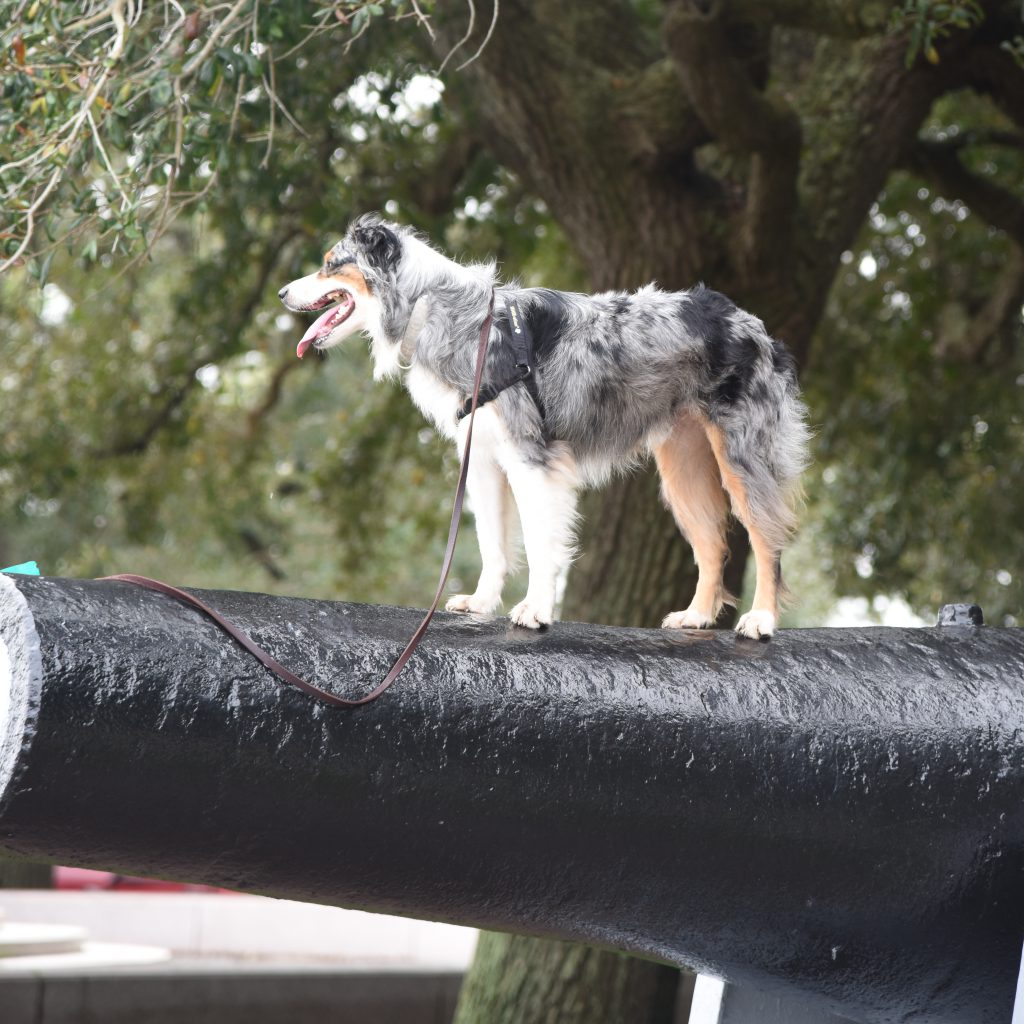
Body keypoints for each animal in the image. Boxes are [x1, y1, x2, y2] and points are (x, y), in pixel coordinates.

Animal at [278, 214, 806, 638]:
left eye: (330, 264)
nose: (282, 292)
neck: (436, 309)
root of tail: (751, 322)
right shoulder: (483, 459)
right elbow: (492, 541)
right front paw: (481, 603)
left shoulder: (532, 458)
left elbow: (538, 541)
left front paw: (535, 610)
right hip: (683, 466)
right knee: (713, 544)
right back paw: (696, 616)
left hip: (742, 456)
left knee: (766, 538)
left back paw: (761, 620)